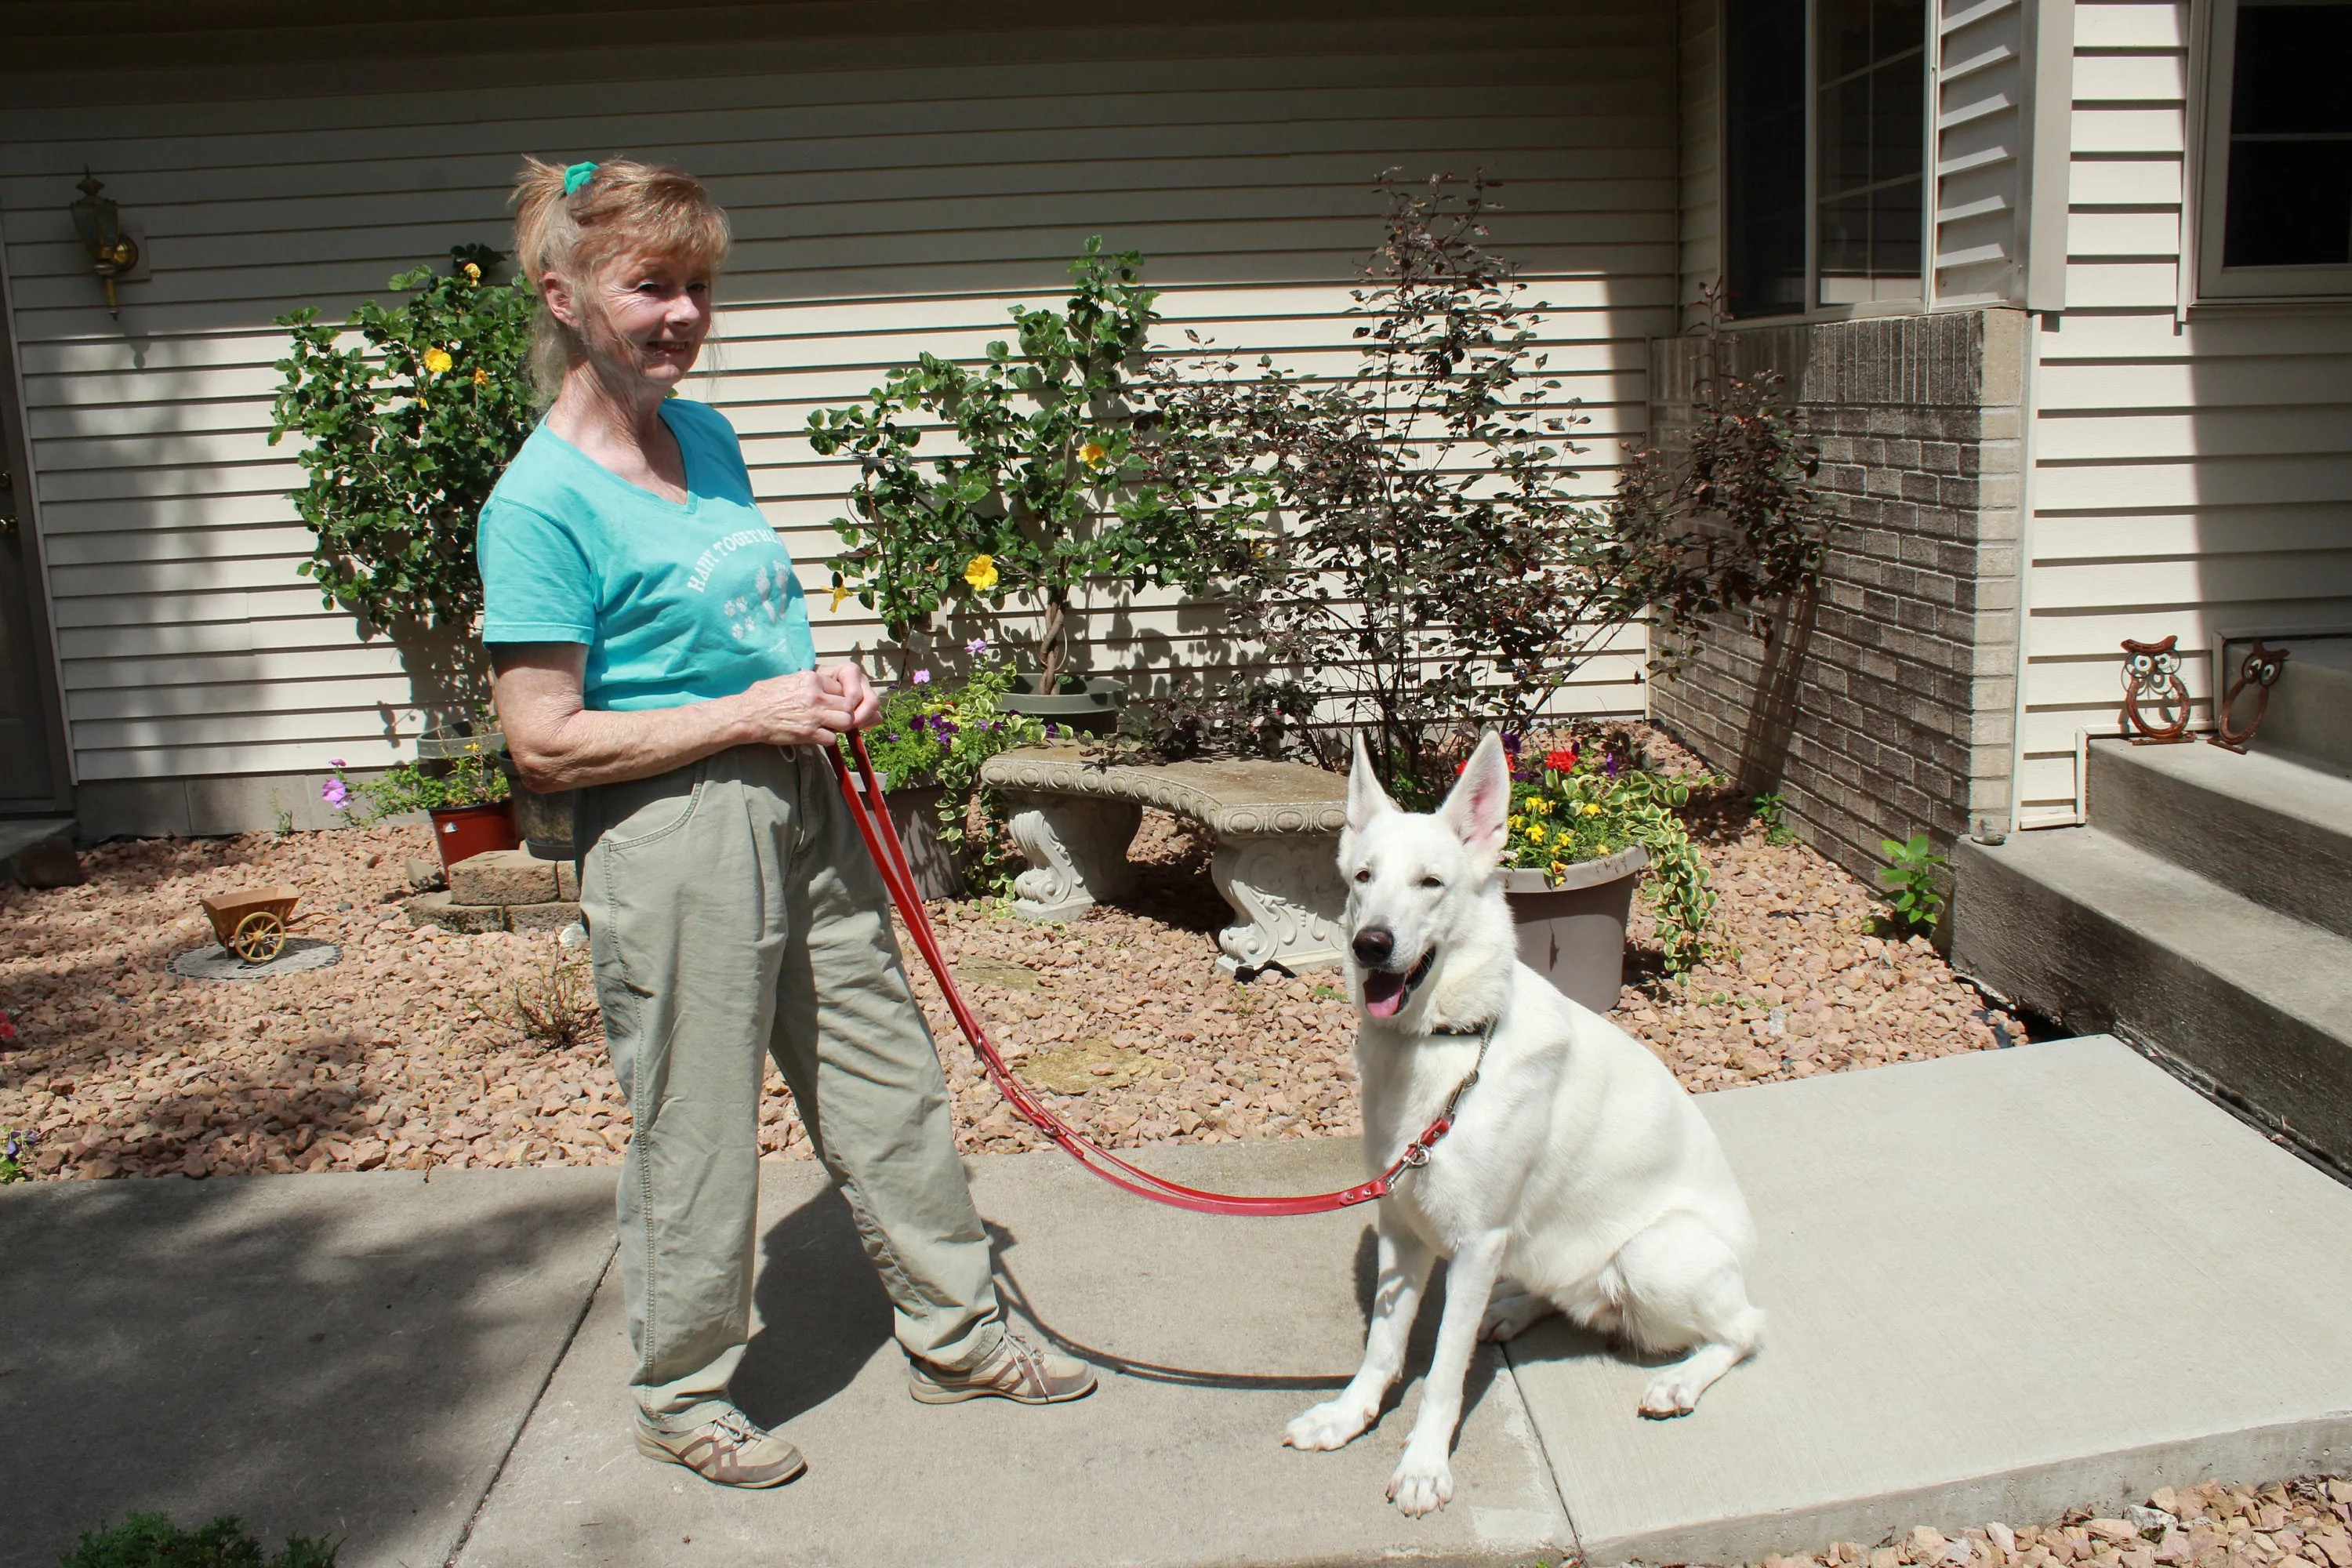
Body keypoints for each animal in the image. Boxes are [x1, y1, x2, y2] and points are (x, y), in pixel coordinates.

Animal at [1289, 738, 1769, 1523]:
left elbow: (1443, 1374)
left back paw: (1679, 1380)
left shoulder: (1478, 1243)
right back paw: (1511, 1309)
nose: (1371, 945)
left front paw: (1424, 1464)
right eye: (1363, 877)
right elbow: (1384, 1346)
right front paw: (1349, 1416)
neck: (1448, 1049)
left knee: (1746, 1330)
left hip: (1653, 1256)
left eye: (1431, 883)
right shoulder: (1401, 1223)